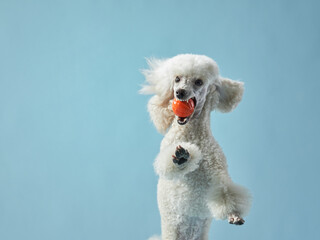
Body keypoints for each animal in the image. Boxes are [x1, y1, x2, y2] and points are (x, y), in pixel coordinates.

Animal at [141, 54, 251, 240]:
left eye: (199, 82)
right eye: (177, 79)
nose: (180, 92)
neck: (191, 135)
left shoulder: (217, 171)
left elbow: (226, 191)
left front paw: (234, 215)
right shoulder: (166, 157)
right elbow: (168, 165)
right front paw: (181, 158)